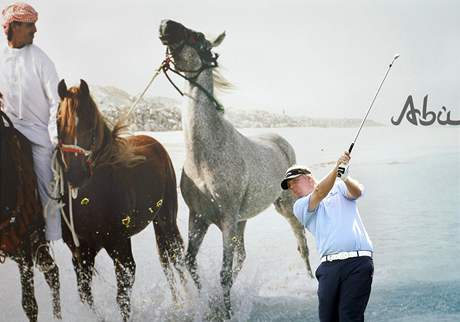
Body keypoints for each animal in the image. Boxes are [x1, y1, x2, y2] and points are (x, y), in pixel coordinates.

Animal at [55, 79, 187, 320]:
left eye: (90, 125)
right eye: (59, 123)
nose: (76, 175)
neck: (92, 201)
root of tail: (155, 142)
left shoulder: (120, 246)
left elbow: (123, 297)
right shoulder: (81, 253)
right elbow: (86, 297)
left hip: (166, 219)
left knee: (177, 258)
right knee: (166, 260)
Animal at [158, 19, 312, 316]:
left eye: (197, 37)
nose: (165, 24)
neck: (204, 156)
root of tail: (281, 141)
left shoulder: (227, 220)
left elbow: (224, 273)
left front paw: (226, 312)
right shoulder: (199, 217)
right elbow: (190, 262)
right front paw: (209, 304)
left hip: (282, 207)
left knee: (301, 240)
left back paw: (312, 278)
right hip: (242, 221)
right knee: (242, 256)